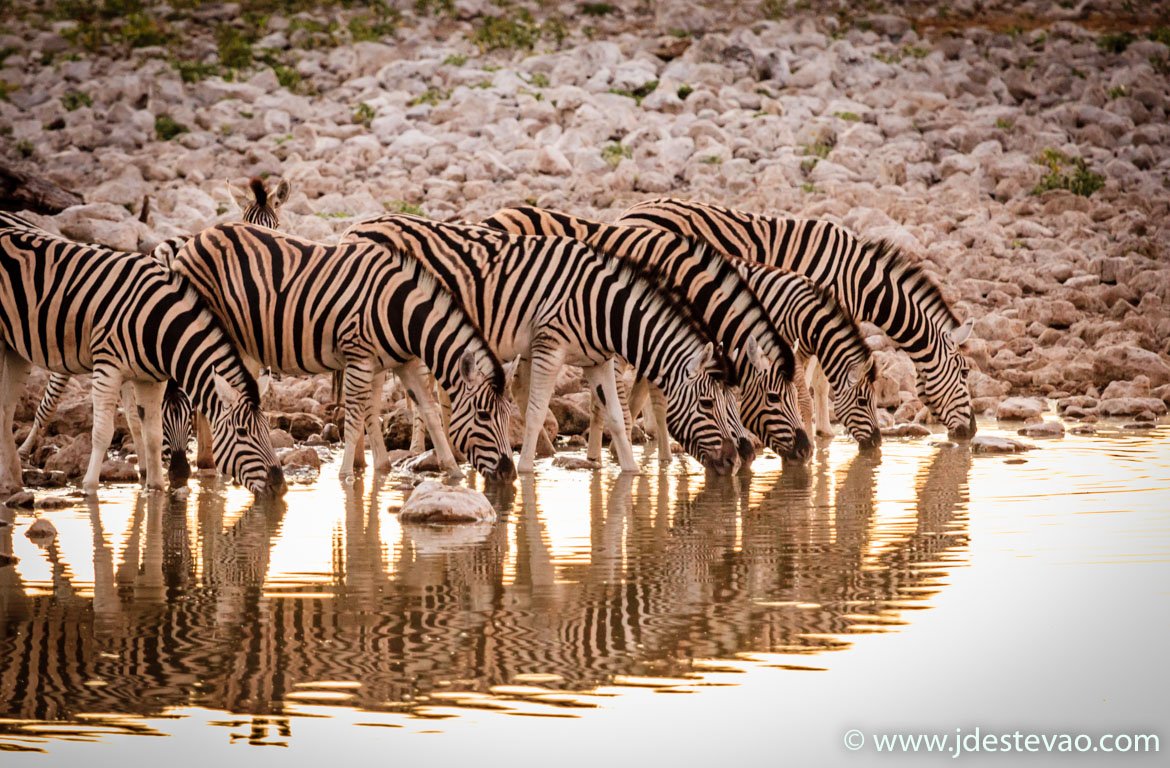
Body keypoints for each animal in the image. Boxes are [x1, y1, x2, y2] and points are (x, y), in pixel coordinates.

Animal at [167, 218, 514, 479]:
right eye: (484, 416)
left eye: (509, 416)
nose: (508, 473)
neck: (400, 310)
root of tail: (195, 238)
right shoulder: (359, 355)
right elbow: (357, 414)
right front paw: (347, 475)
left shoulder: (403, 362)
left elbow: (428, 410)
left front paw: (451, 471)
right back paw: (208, 465)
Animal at [339, 214, 748, 472]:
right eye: (708, 405)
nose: (733, 461)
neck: (600, 305)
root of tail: (353, 230)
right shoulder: (549, 346)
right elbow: (536, 412)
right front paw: (524, 471)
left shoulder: (597, 360)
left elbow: (617, 418)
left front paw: (630, 472)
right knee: (368, 400)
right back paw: (373, 465)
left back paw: (366, 463)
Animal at [479, 203, 819, 465]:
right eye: (774, 398)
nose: (806, 451)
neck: (684, 280)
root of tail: (496, 215)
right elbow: (626, 401)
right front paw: (611, 456)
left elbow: (647, 395)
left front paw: (657, 456)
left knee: (520, 385)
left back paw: (543, 450)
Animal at [622, 197, 978, 437]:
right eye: (964, 372)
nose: (973, 431)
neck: (859, 282)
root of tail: (628, 212)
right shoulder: (814, 324)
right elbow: (813, 382)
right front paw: (818, 431)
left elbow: (816, 381)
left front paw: (822, 431)